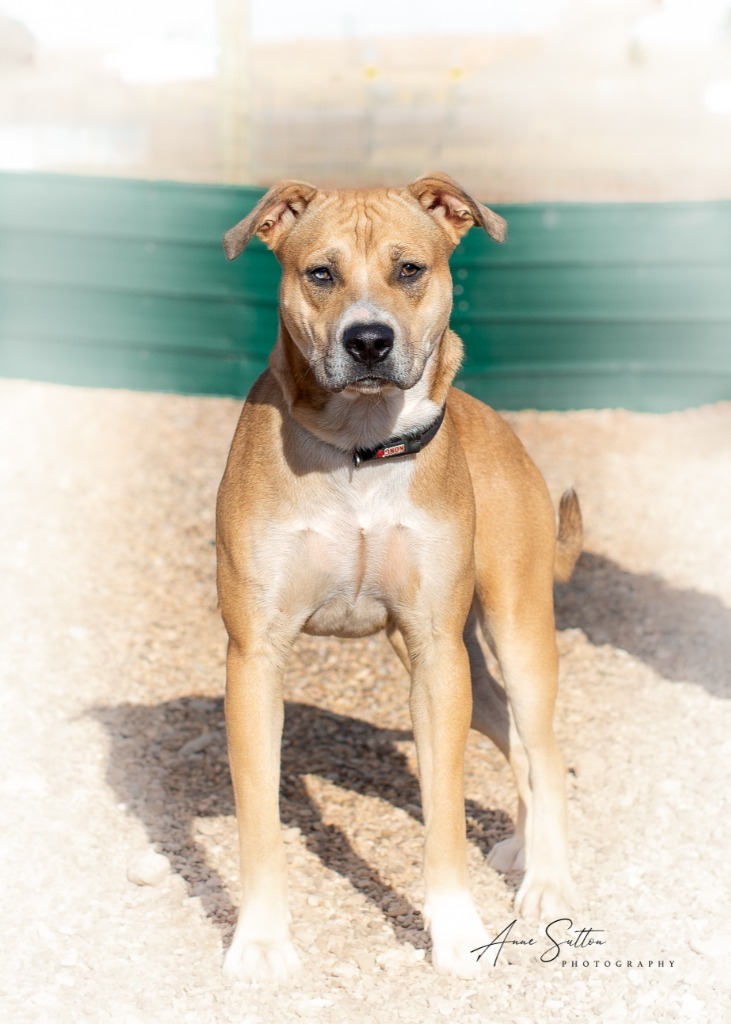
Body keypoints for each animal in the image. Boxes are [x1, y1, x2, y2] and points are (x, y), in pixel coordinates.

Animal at [216, 172, 581, 978]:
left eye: (409, 269)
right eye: (320, 273)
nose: (368, 340)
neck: (359, 447)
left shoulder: (436, 657)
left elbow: (442, 812)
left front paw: (455, 932)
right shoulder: (255, 657)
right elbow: (257, 818)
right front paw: (261, 940)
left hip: (514, 630)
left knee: (542, 749)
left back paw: (546, 880)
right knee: (513, 740)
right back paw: (520, 848)